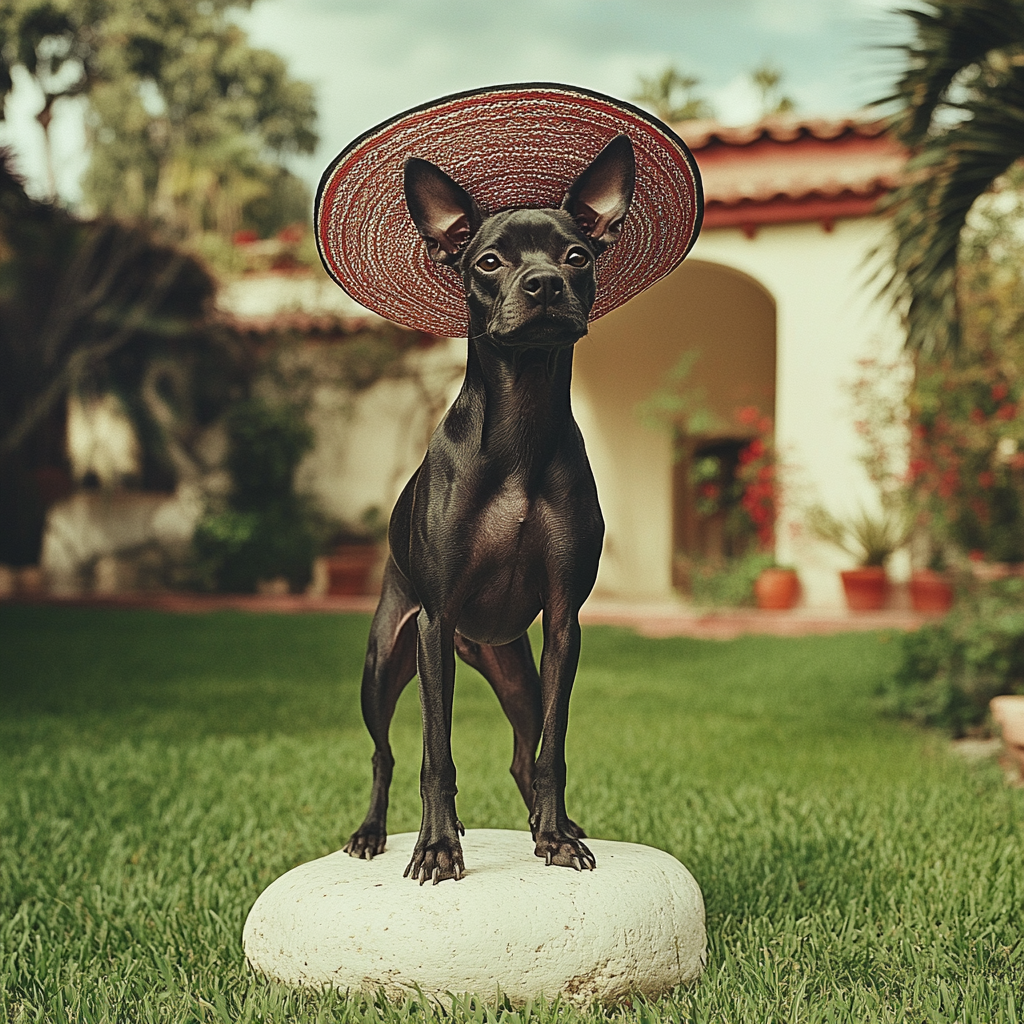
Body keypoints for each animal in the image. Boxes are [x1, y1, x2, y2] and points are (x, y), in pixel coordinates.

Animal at [344, 138, 630, 888]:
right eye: (490, 262)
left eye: (576, 255)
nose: (543, 286)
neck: (518, 436)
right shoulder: (435, 623)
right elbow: (435, 754)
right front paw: (438, 847)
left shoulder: (563, 625)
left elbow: (553, 750)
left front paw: (555, 837)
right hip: (387, 663)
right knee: (385, 753)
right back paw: (370, 833)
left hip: (516, 674)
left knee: (524, 754)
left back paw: (548, 824)